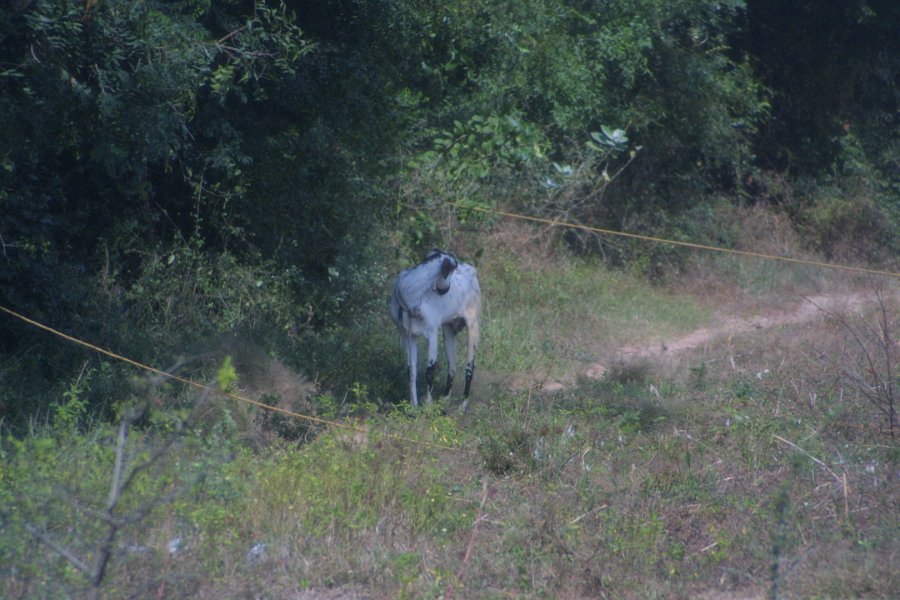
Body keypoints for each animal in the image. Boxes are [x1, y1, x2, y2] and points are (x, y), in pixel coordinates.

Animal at [391, 249, 481, 411]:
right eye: (453, 268)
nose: (445, 289)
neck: (409, 294)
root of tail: (471, 270)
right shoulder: (407, 336)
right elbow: (411, 371)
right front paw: (413, 406)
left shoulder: (432, 334)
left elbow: (429, 371)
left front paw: (427, 404)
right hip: (448, 330)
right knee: (452, 366)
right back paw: (445, 400)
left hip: (472, 326)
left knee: (469, 368)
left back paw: (463, 405)